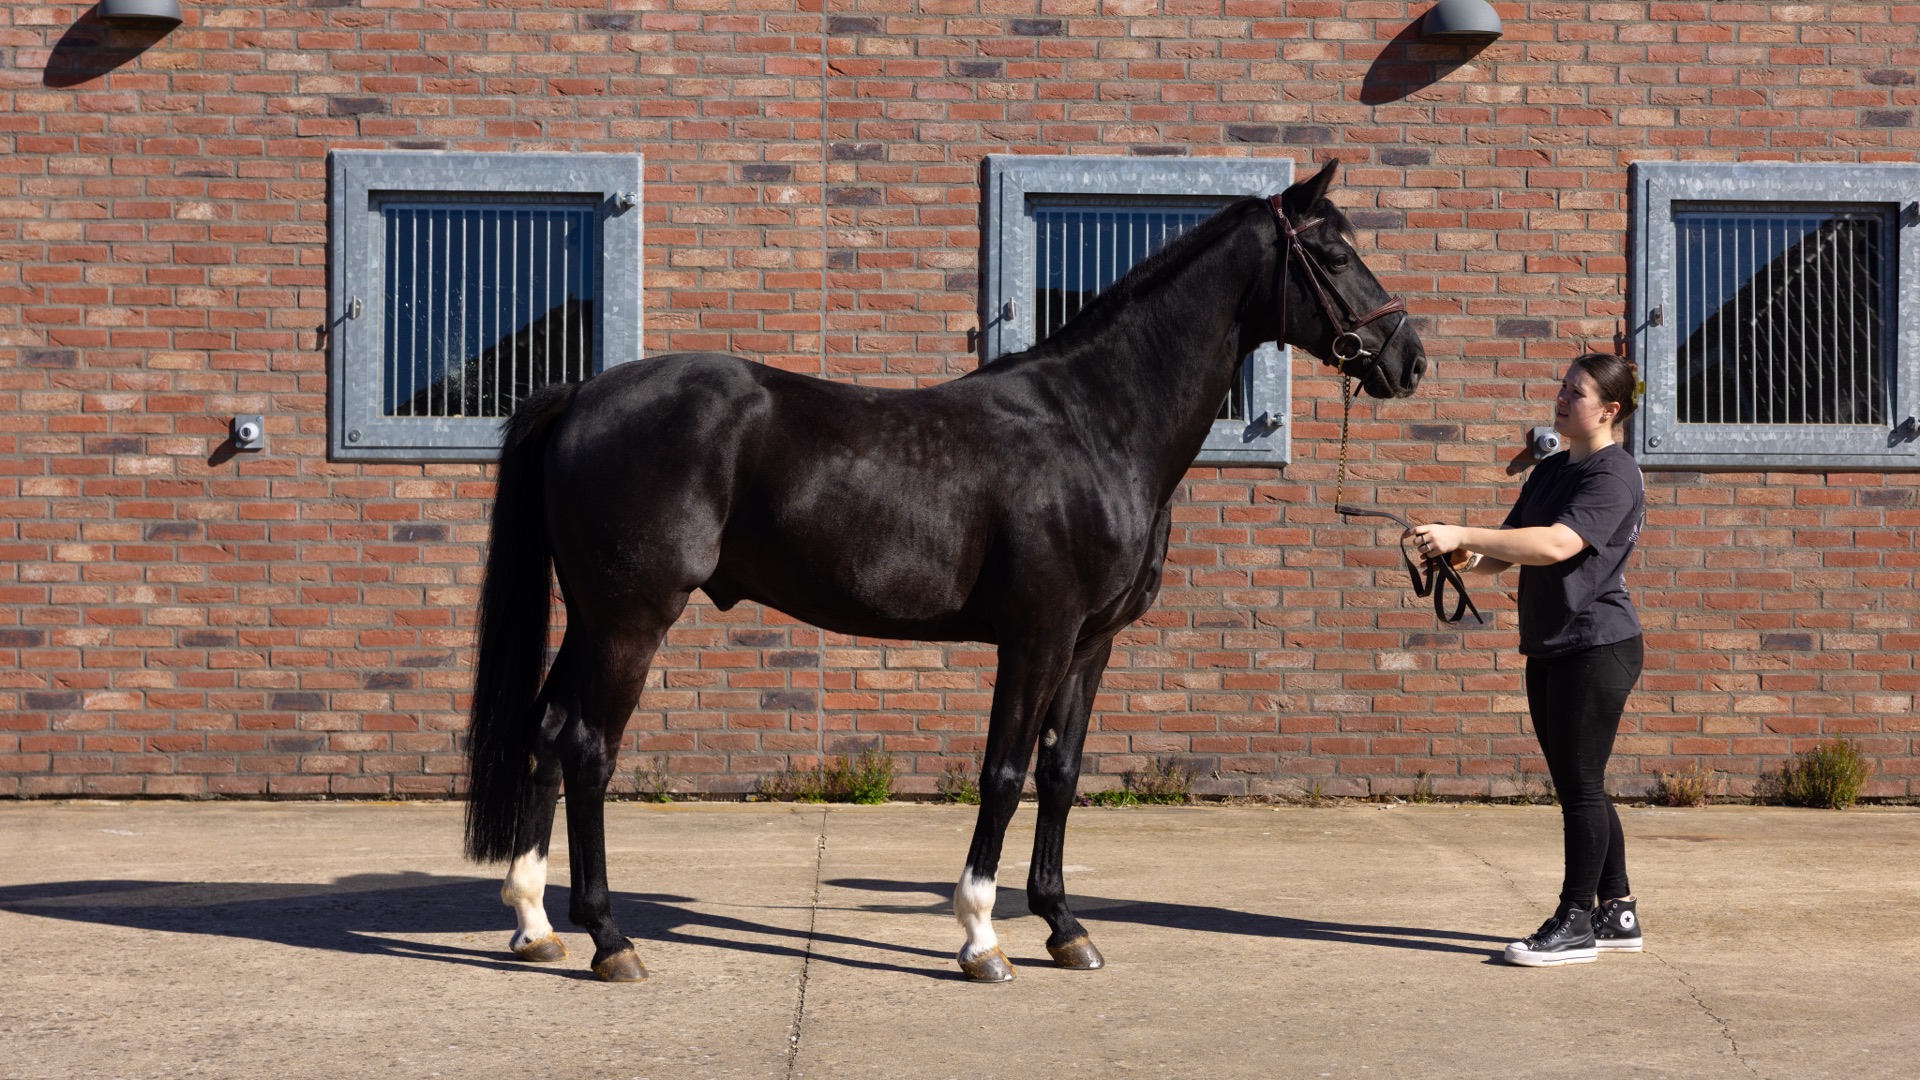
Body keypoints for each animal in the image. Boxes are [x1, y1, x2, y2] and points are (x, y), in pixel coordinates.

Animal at [462, 159, 1428, 983]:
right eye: (1334, 253)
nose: (1409, 359)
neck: (1094, 425)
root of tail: (580, 395)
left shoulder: (1090, 647)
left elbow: (1060, 776)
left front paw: (1066, 927)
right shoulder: (1037, 637)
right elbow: (1002, 774)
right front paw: (981, 938)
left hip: (592, 617)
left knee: (548, 733)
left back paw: (535, 924)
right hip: (631, 619)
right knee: (590, 749)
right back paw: (609, 939)